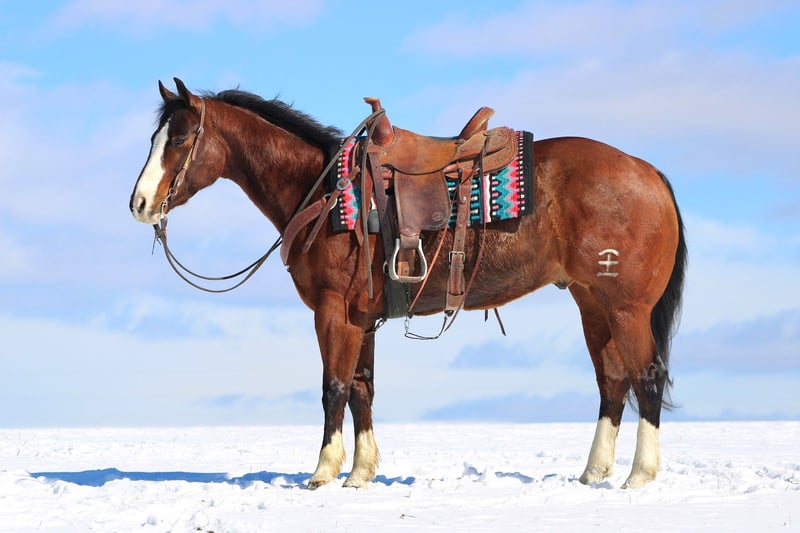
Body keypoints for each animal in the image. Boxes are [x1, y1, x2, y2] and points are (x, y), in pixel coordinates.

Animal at [130, 78, 687, 490]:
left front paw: (323, 472)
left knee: (647, 375)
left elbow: (333, 388)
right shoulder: (360, 317)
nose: (139, 204)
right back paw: (593, 472)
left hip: (626, 307)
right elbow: (362, 389)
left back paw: (639, 476)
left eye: (179, 139)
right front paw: (361, 472)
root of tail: (648, 172)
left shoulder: (332, 311)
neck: (324, 192)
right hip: (592, 303)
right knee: (612, 381)